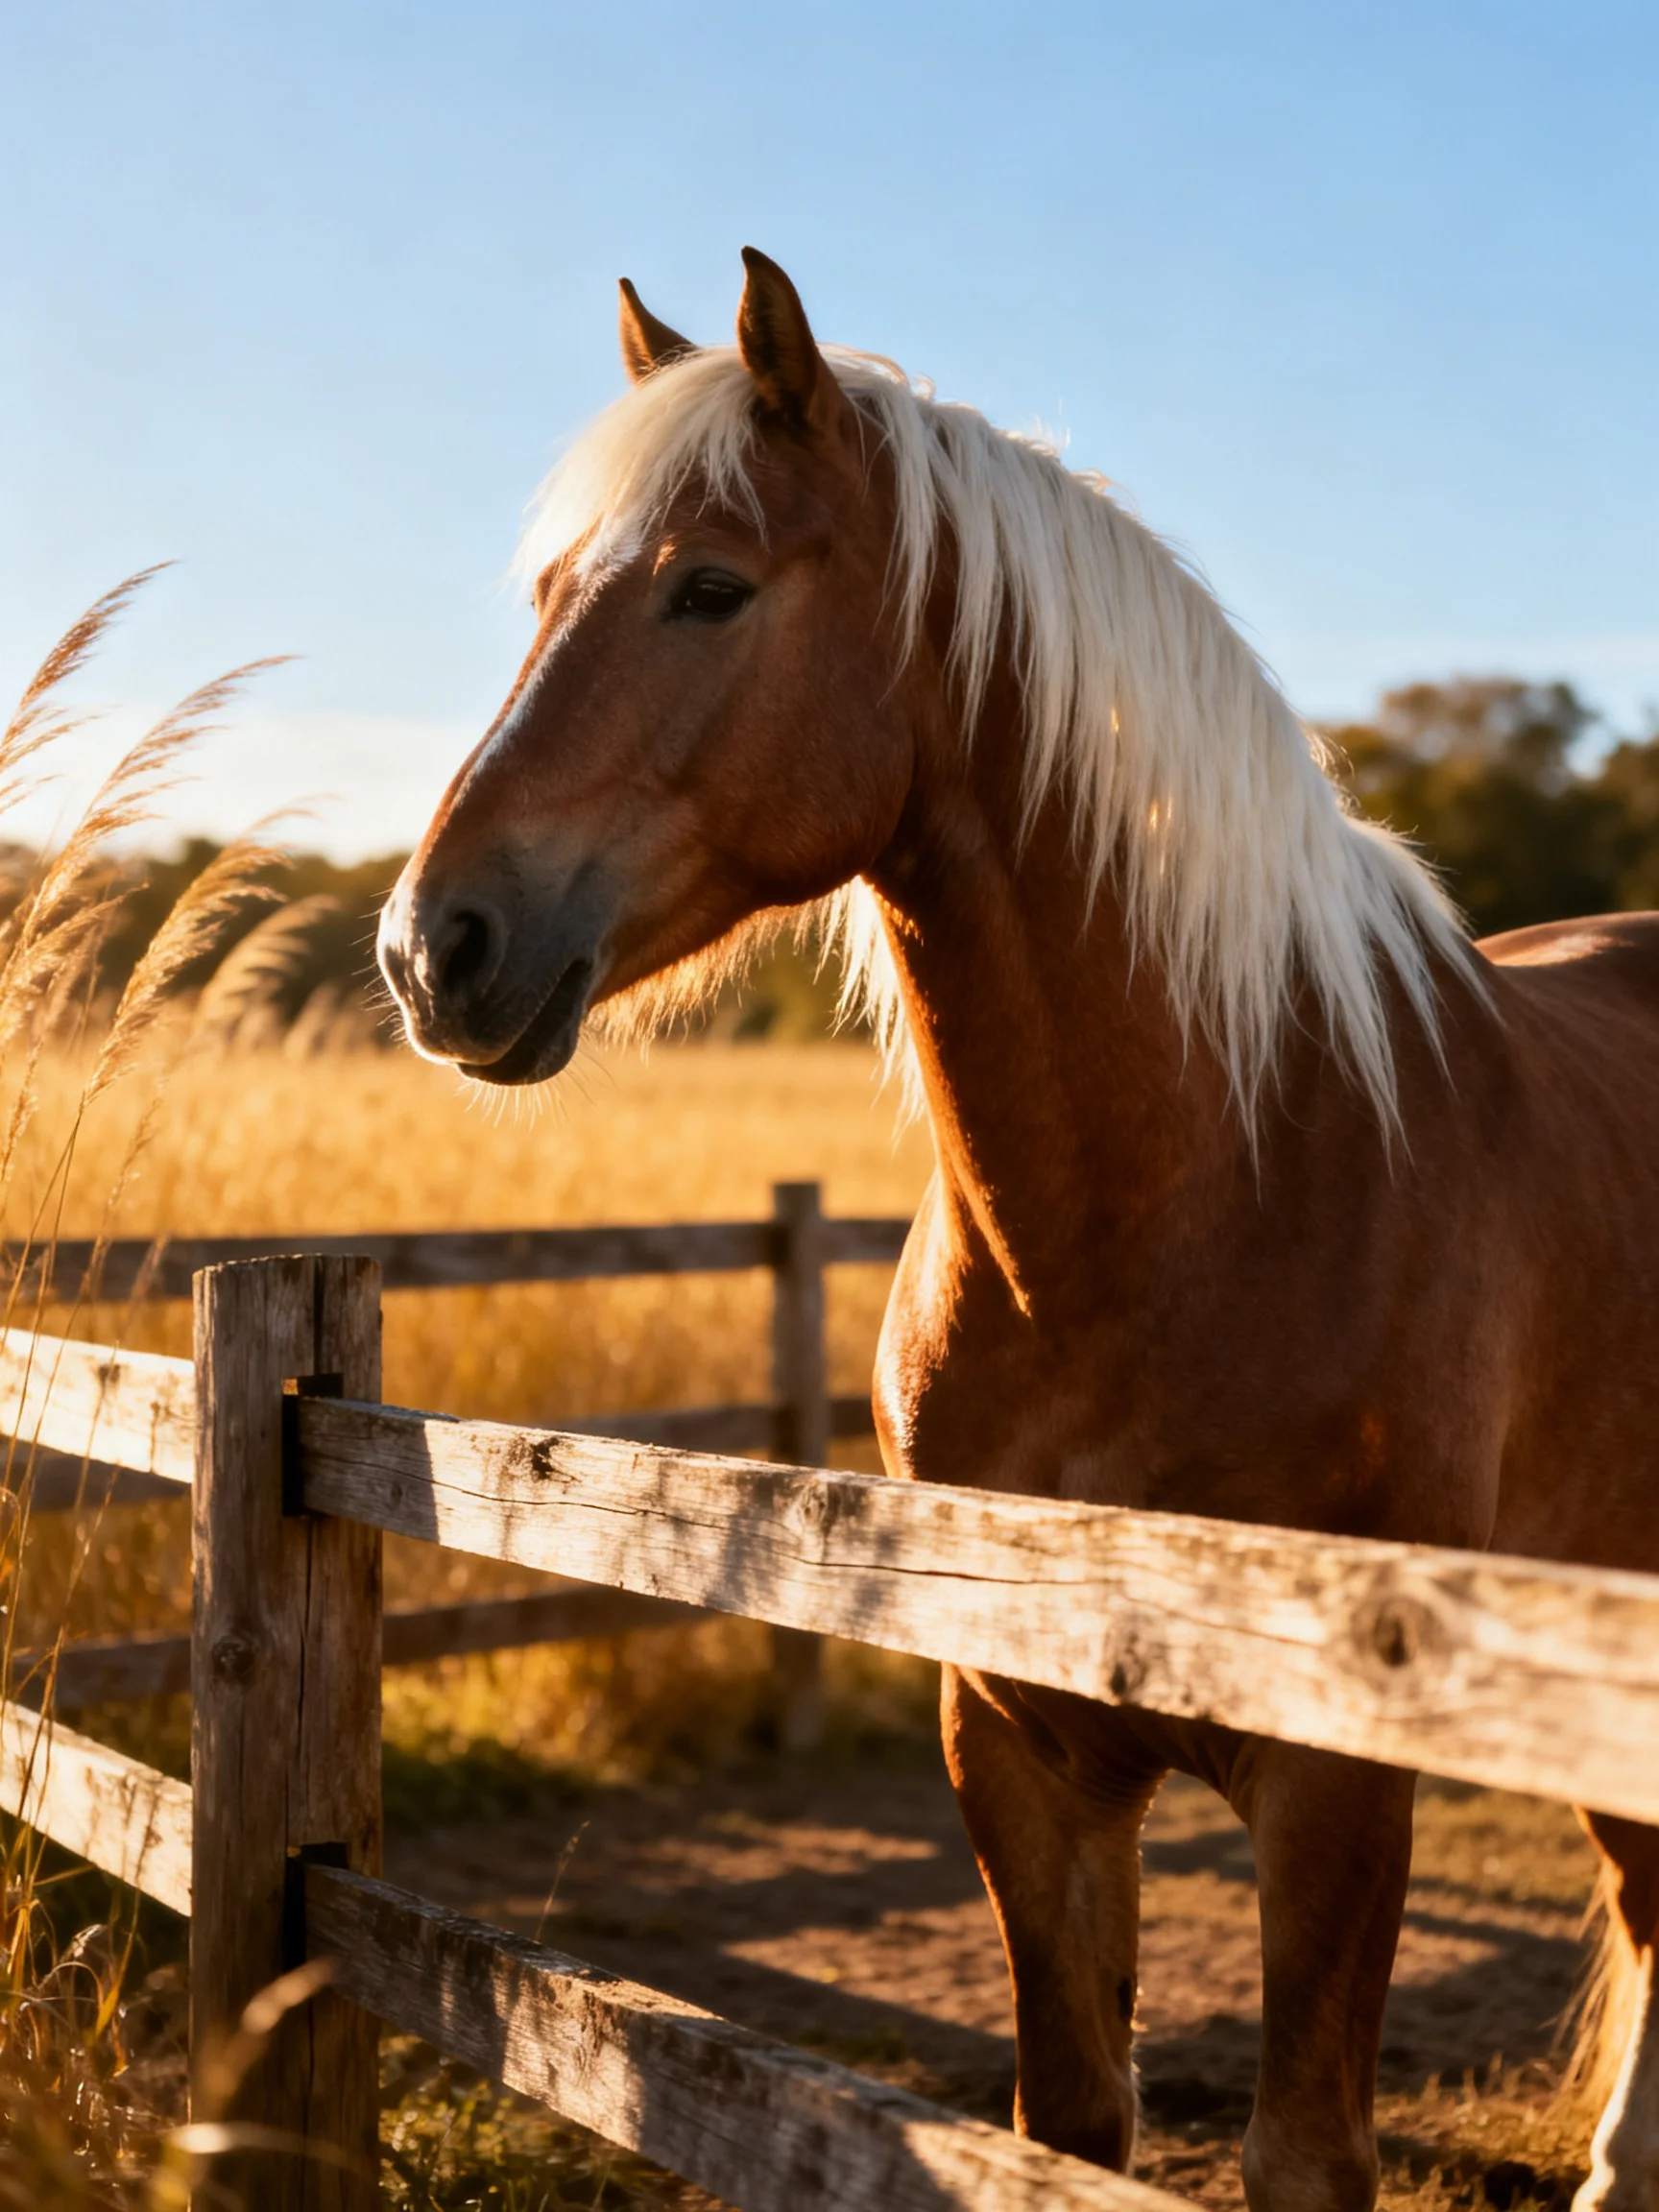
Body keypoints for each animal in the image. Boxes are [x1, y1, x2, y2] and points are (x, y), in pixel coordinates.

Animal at [377, 249, 1659, 2212]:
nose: (432, 945)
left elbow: (1304, 2153)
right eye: (545, 595)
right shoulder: (1016, 1738)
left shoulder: (1338, 1779)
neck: (1208, 1192)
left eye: (710, 586)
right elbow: (1070, 2123)